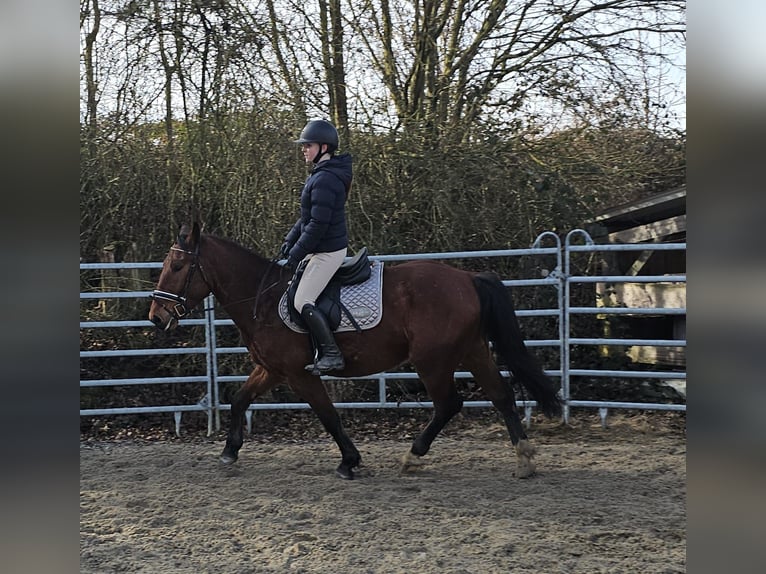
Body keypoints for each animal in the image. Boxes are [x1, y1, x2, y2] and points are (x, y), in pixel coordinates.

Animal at [150, 224, 560, 482]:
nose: (157, 317)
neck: (261, 297)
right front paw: (230, 451)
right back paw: (524, 459)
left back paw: (413, 456)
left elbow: (329, 416)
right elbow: (239, 400)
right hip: (472, 351)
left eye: (178, 265)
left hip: (432, 361)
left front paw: (350, 462)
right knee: (501, 395)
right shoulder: (271, 369)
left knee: (449, 404)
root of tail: (468, 278)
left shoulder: (299, 374)